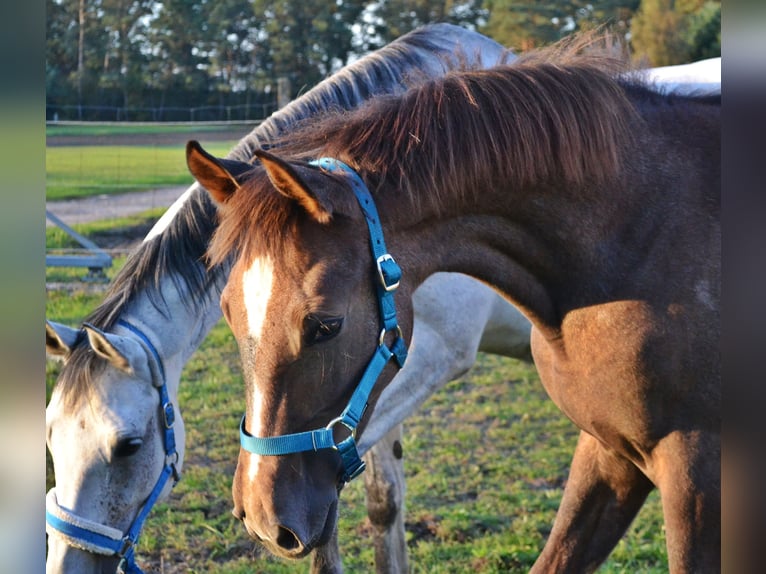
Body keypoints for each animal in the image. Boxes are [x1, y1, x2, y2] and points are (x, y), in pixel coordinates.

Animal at [46, 23, 516, 574]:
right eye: (51, 436)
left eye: (128, 446)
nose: (64, 565)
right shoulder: (374, 367)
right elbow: (379, 497)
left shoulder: (434, 355)